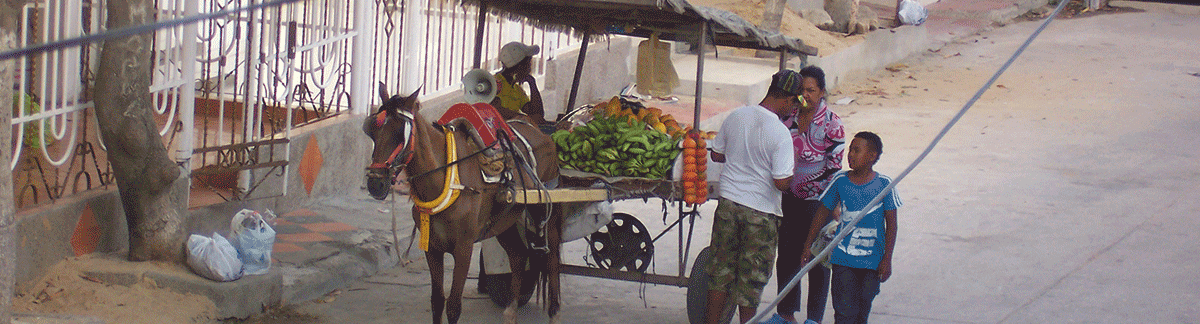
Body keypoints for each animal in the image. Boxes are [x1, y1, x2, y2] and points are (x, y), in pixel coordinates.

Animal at [360, 84, 561, 321]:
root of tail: (542, 133)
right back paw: (510, 311)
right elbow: (437, 301)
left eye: (400, 133)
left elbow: (454, 306)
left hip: (545, 213)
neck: (446, 178)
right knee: (518, 256)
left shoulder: (464, 249)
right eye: (371, 130)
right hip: (505, 221)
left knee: (552, 258)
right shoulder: (432, 248)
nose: (375, 183)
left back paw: (554, 311)